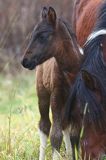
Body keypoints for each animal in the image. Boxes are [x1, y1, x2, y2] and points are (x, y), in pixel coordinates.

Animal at [20, 6, 82, 160]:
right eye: (32, 36)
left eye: (42, 36)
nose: (25, 61)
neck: (72, 72)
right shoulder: (56, 96)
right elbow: (55, 135)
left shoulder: (78, 103)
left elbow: (75, 135)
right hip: (42, 94)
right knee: (45, 126)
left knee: (65, 125)